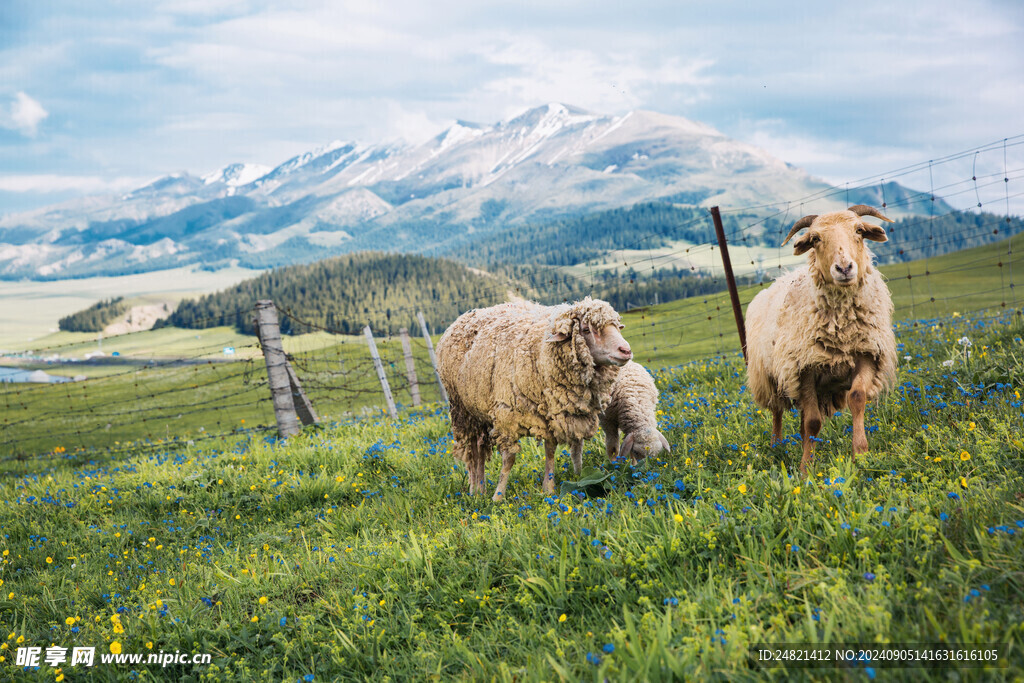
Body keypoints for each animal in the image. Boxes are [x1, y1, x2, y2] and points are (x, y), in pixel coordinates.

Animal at [438, 296, 630, 499]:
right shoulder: (507, 416)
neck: (542, 353)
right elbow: (509, 458)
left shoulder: (549, 415)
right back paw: (476, 489)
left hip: (478, 411)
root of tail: (467, 314)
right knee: (475, 452)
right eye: (586, 330)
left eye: (616, 327)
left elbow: (550, 451)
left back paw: (479, 488)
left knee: (480, 448)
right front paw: (498, 496)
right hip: (464, 410)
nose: (625, 350)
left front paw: (548, 488)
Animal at [745, 204, 897, 475]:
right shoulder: (803, 367)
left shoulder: (867, 354)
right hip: (770, 377)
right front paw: (806, 468)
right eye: (815, 239)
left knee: (803, 417)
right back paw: (777, 446)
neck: (842, 328)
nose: (844, 268)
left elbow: (857, 399)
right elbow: (814, 422)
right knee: (778, 412)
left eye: (859, 230)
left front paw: (861, 454)